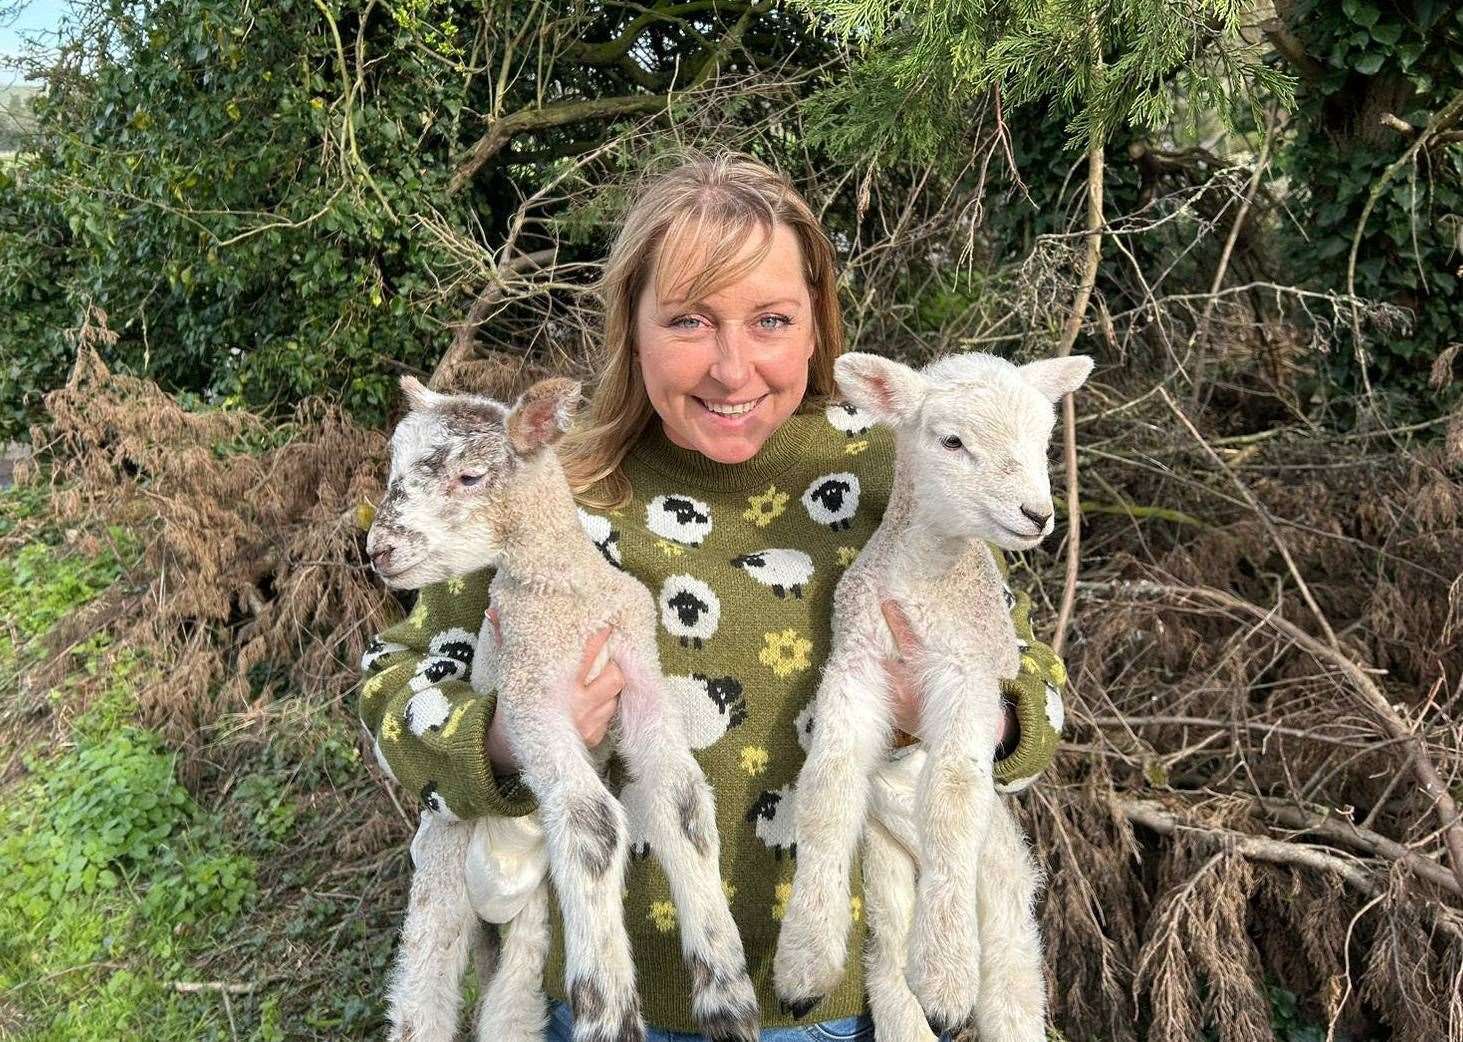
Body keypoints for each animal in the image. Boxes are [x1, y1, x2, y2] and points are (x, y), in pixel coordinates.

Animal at [365, 374, 760, 1042]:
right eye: (393, 469)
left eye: (470, 476)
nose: (378, 550)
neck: (567, 595)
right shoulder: (531, 697)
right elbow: (591, 820)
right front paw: (612, 1015)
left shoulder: (638, 669)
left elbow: (682, 799)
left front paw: (727, 997)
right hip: (442, 867)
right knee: (424, 989)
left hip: (535, 911)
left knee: (511, 1002)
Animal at [772, 352, 1094, 1042]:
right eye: (951, 441)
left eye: (1043, 441)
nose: (1037, 514)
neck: (923, 580)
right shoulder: (857, 665)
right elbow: (827, 787)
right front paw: (805, 961)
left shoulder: (967, 676)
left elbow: (951, 799)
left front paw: (947, 978)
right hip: (886, 857)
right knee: (889, 944)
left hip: (998, 868)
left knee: (1010, 958)